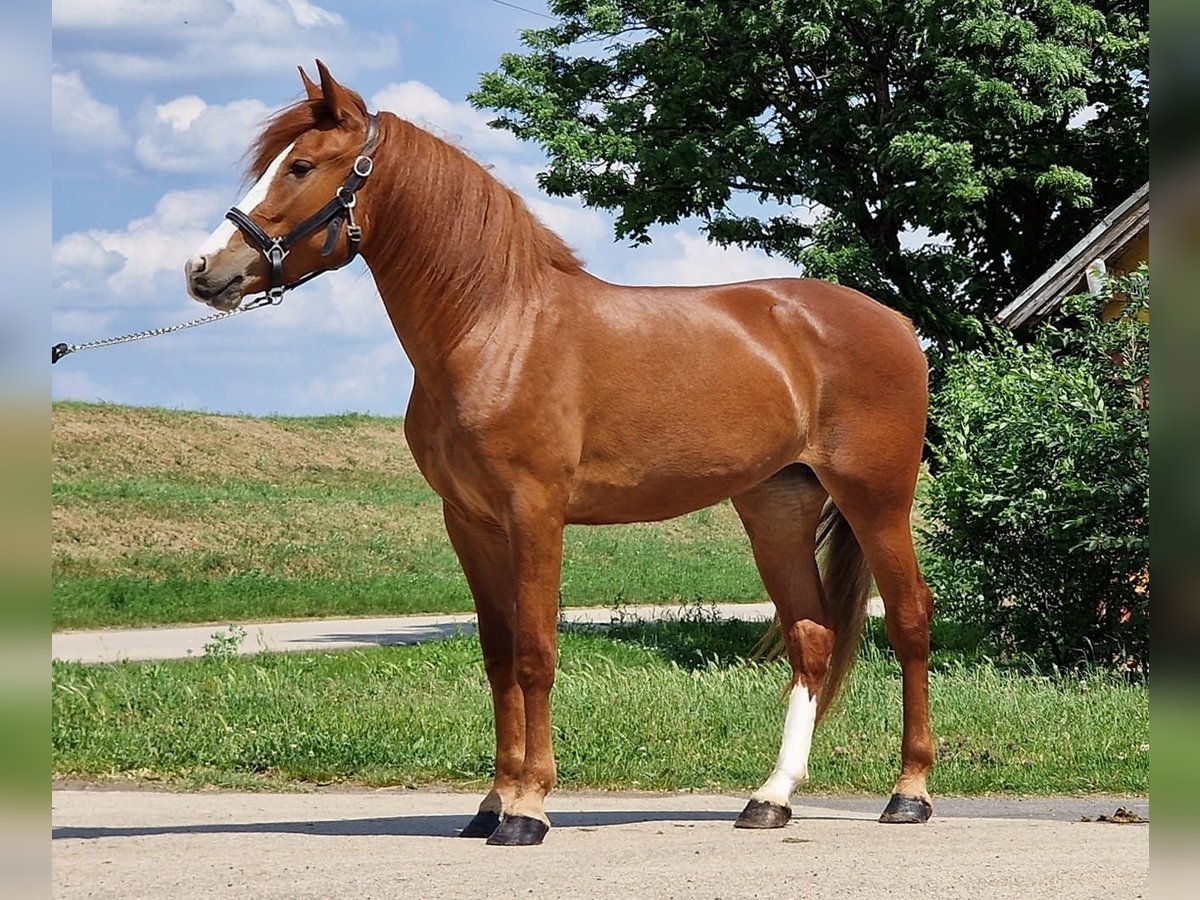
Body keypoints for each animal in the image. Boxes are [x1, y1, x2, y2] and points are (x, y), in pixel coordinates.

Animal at [184, 63, 936, 844]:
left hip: (876, 500)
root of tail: (894, 322)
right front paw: (492, 801)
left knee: (910, 619)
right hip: (776, 506)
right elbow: (498, 657)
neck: (495, 328)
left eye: (300, 166)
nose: (203, 270)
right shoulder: (471, 523)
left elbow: (535, 653)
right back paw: (772, 797)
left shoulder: (536, 514)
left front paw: (528, 807)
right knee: (812, 637)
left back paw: (908, 792)